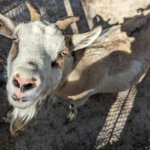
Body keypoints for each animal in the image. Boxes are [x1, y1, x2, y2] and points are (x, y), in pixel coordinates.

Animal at [0, 2, 149, 134]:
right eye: (15, 38)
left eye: (63, 52)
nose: (23, 83)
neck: (73, 69)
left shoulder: (81, 98)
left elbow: (74, 106)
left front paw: (70, 116)